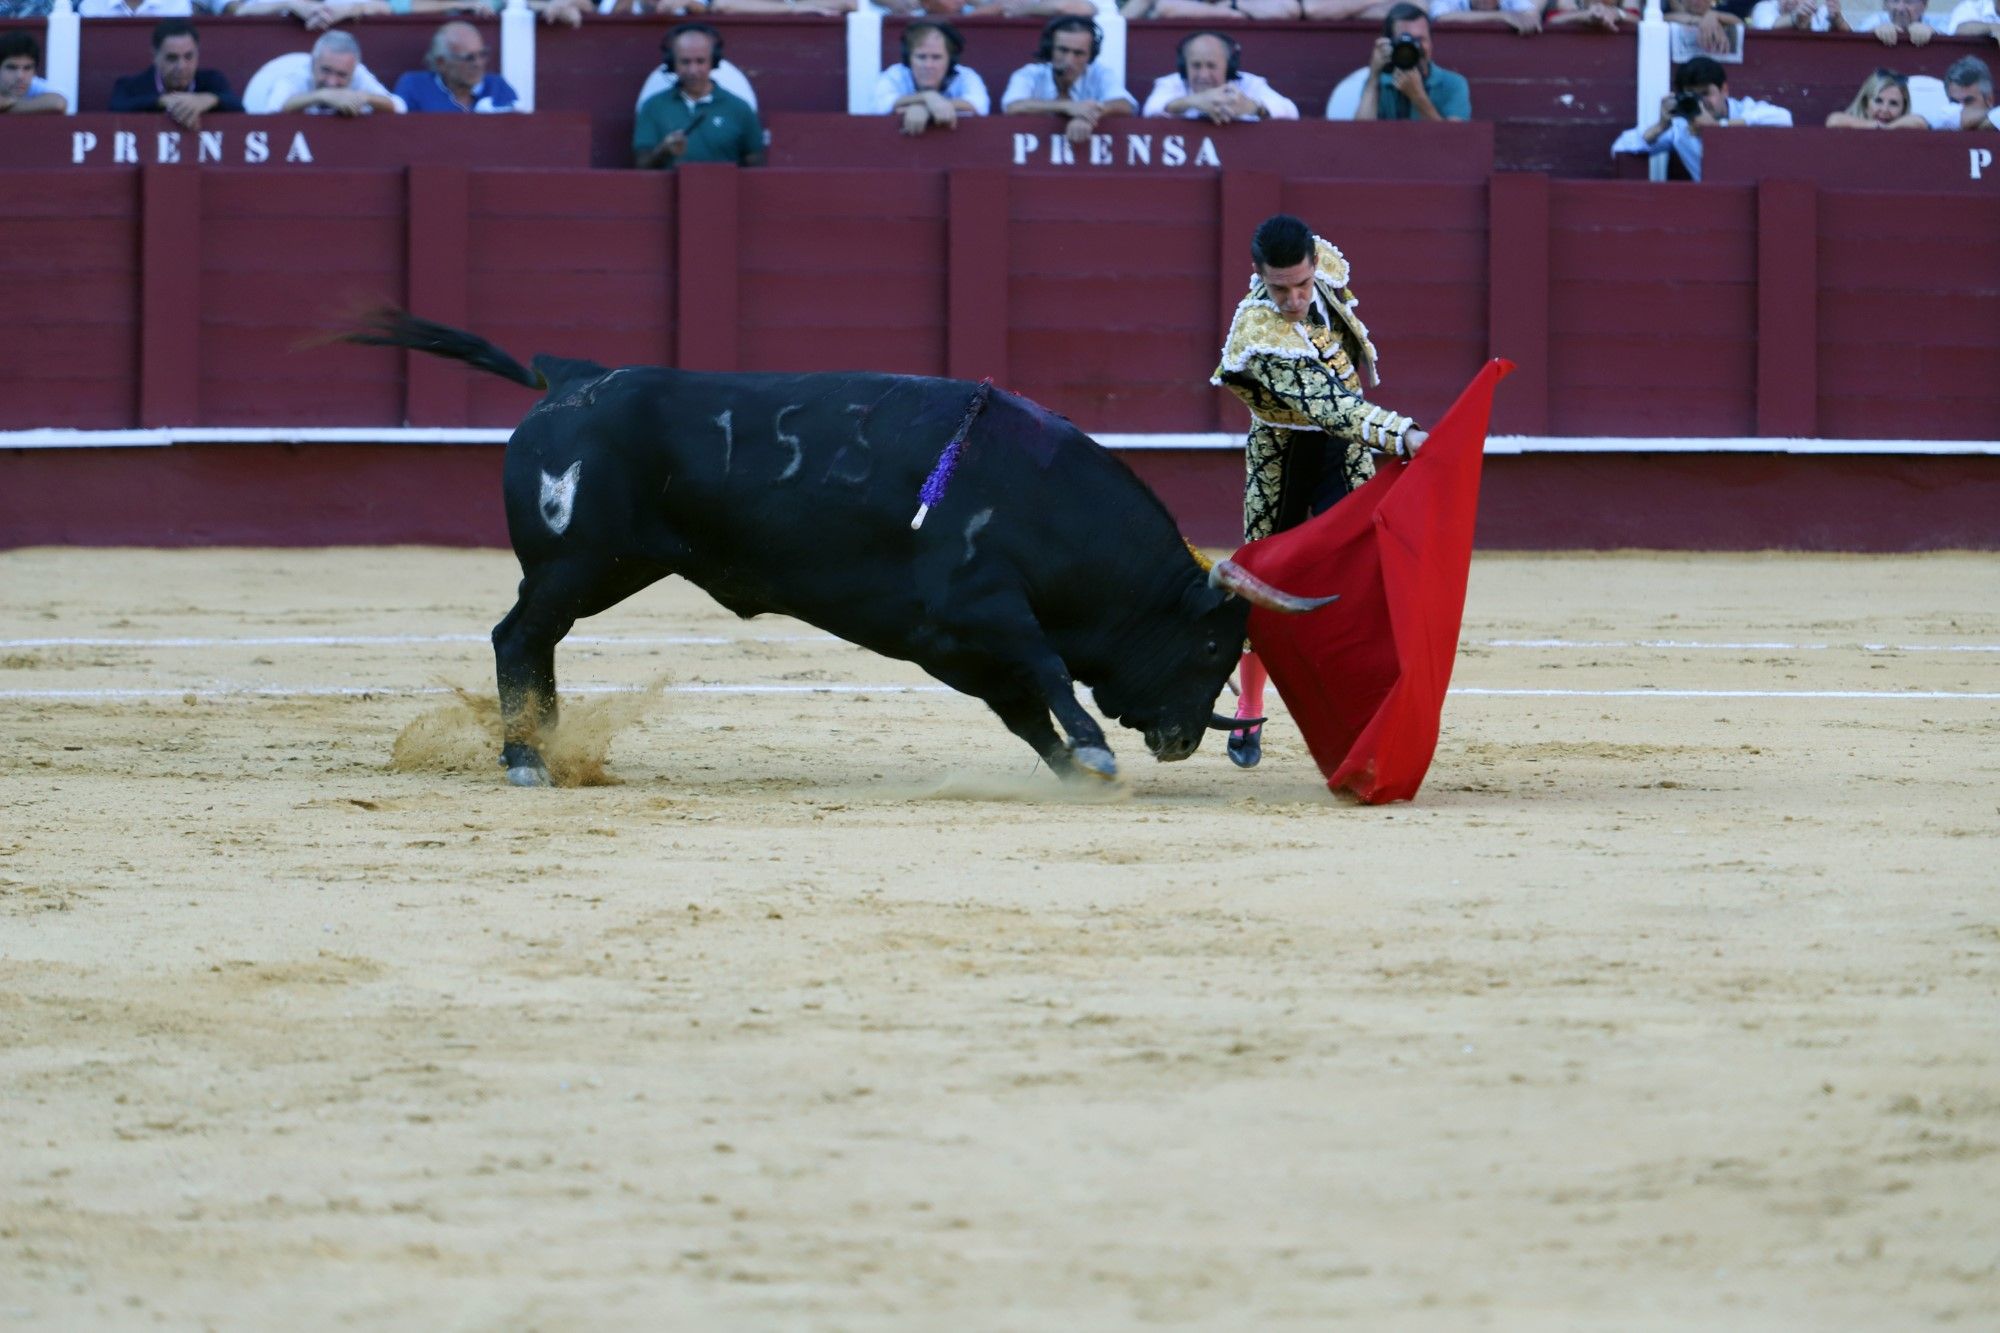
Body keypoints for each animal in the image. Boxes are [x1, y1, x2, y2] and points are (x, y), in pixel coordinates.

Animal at [352, 312, 1336, 784]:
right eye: (1214, 645)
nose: (1181, 741)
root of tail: (573, 377)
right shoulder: (983, 607)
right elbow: (1050, 671)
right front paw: (1093, 751)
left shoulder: (949, 645)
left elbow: (1022, 705)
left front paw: (1068, 767)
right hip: (580, 563)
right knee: (517, 636)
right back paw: (525, 758)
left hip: (600, 568)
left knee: (536, 642)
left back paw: (546, 747)